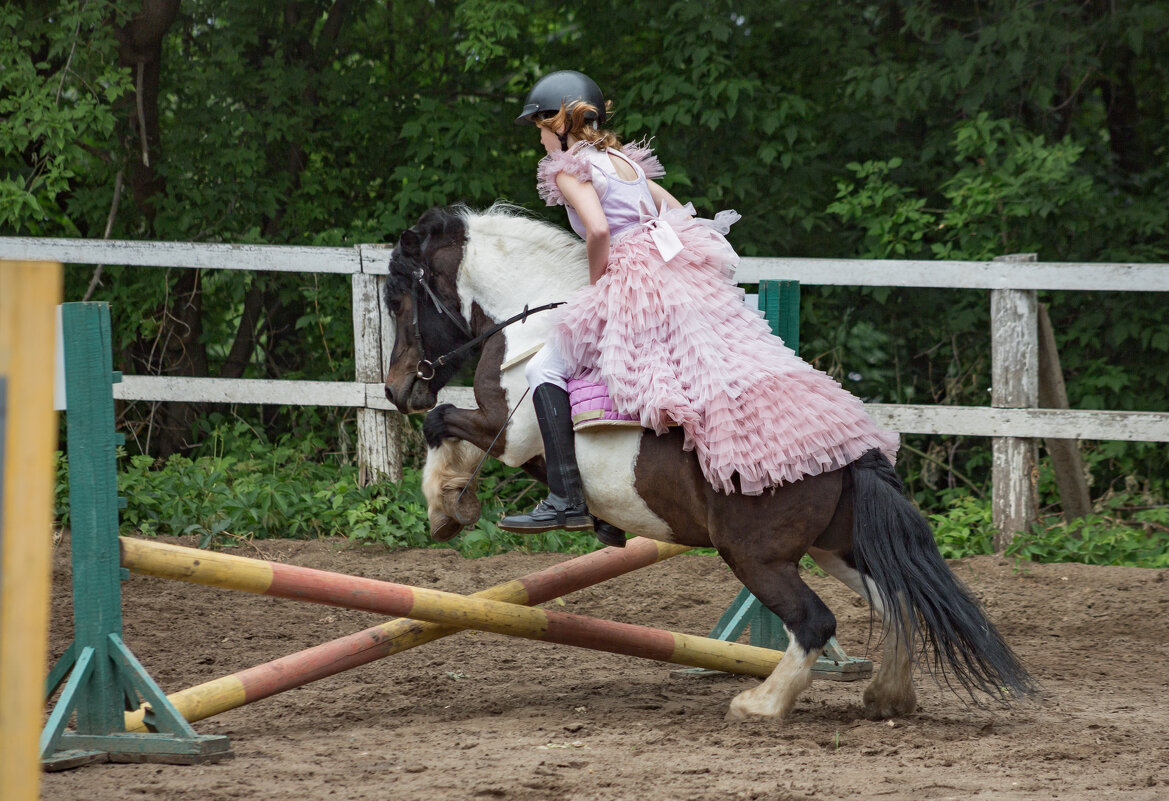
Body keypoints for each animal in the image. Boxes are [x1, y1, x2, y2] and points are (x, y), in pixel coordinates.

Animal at [383, 201, 1033, 720]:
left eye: (397, 301)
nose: (395, 390)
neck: (535, 321)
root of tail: (851, 455)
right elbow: (449, 427)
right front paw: (453, 505)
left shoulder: (510, 433)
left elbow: (444, 421)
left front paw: (446, 506)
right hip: (836, 548)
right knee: (893, 601)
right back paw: (886, 698)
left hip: (753, 555)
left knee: (816, 622)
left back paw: (761, 704)